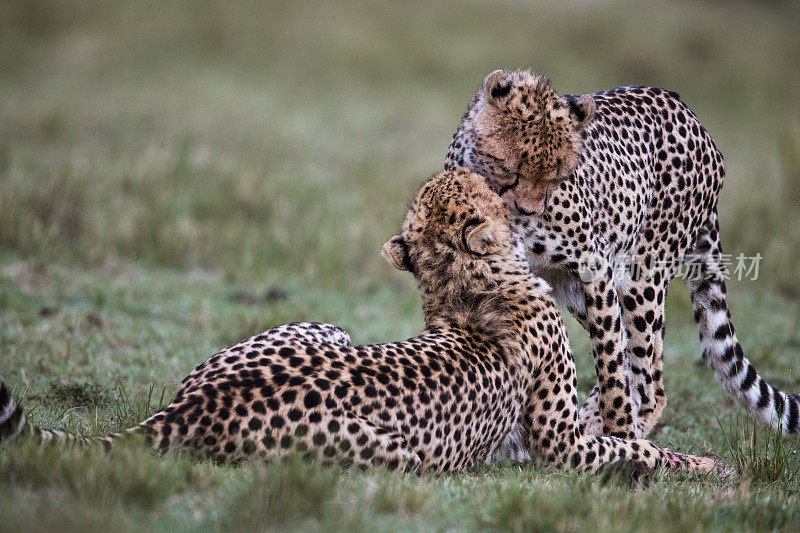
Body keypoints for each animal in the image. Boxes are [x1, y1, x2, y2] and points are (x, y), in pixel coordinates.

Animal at [0, 169, 724, 474]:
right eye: (480, 188)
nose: (506, 182)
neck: (464, 284)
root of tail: (192, 406)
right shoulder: (559, 439)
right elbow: (630, 448)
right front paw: (705, 466)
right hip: (394, 451)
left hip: (323, 328)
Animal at [444, 68, 800, 438]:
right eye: (511, 168)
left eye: (555, 176)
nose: (529, 209)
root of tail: (688, 114)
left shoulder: (596, 270)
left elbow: (610, 364)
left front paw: (619, 432)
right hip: (578, 289)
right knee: (636, 358)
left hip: (639, 277)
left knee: (648, 380)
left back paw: (624, 435)